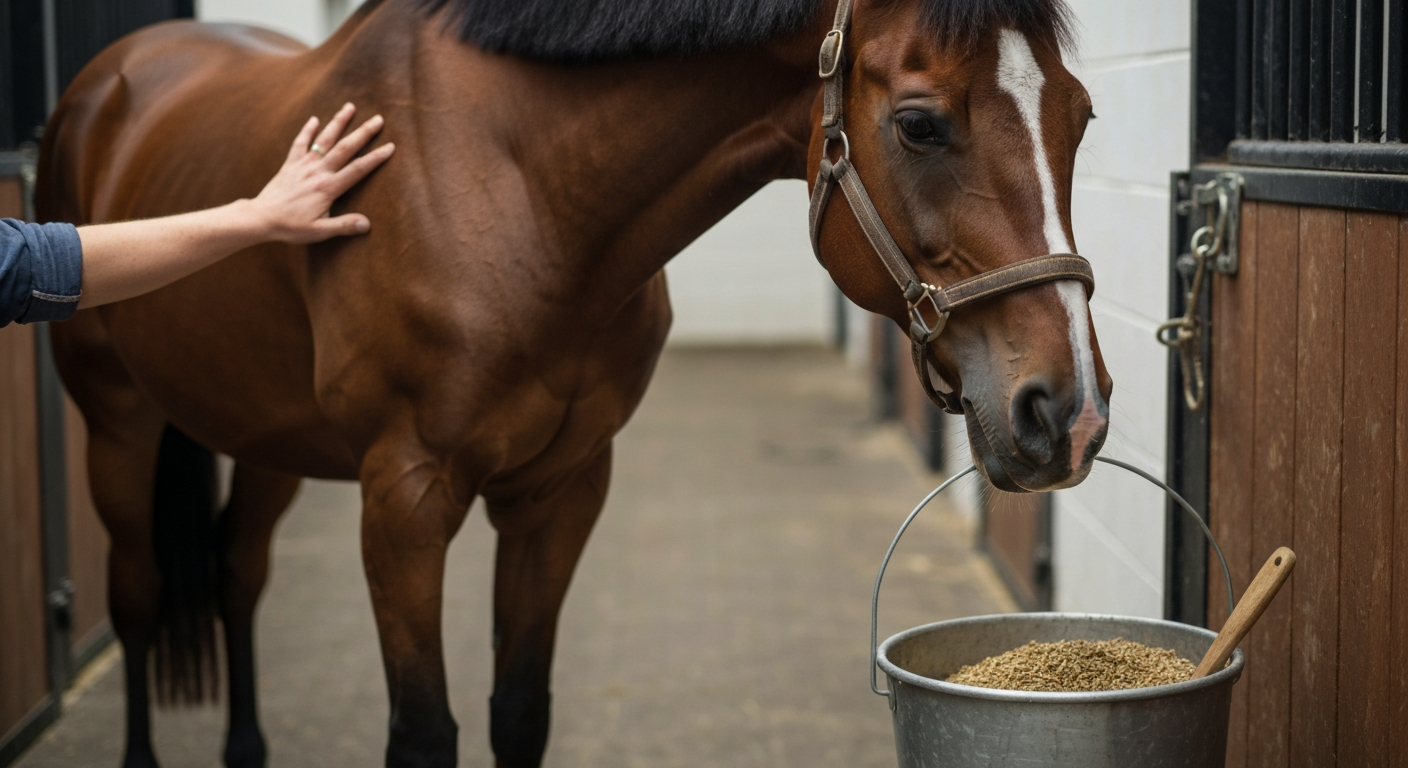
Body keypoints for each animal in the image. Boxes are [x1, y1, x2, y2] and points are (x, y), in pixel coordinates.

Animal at [38, 0, 1108, 765]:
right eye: (921, 126)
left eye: (1081, 114)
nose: (1068, 413)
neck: (513, 187)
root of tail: (105, 85)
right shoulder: (403, 500)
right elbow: (423, 733)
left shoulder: (561, 488)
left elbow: (519, 712)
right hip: (115, 423)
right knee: (137, 597)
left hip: (266, 442)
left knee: (235, 572)